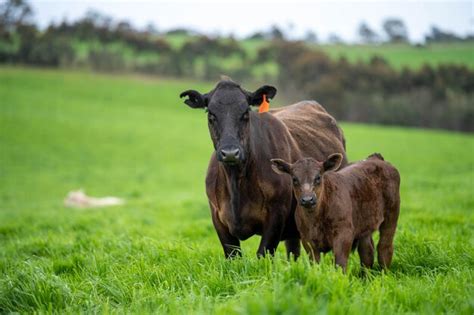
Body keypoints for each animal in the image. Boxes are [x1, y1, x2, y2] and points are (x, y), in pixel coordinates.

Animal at [180, 79, 346, 260]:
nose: (230, 152)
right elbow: (233, 255)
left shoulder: (276, 216)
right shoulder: (217, 217)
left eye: (246, 113)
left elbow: (263, 253)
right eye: (211, 114)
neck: (236, 182)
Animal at [270, 153, 400, 272]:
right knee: (367, 252)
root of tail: (375, 158)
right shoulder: (307, 239)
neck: (315, 219)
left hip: (392, 214)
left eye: (318, 177)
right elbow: (315, 265)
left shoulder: (344, 234)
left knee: (384, 247)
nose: (307, 199)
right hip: (364, 225)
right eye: (294, 179)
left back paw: (384, 274)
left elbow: (340, 264)